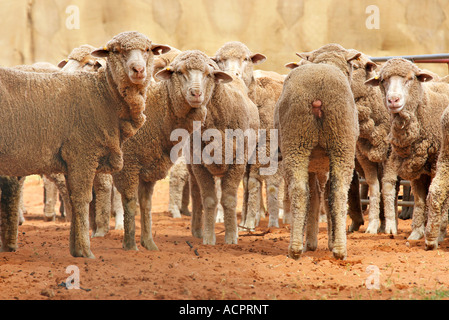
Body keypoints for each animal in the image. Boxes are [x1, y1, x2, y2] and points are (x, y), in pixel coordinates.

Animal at [0, 31, 170, 258]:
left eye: (148, 50)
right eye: (116, 51)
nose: (138, 70)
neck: (102, 95)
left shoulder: (74, 160)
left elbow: (74, 199)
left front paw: (75, 248)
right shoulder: (82, 154)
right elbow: (82, 199)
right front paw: (85, 250)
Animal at [110, 49, 233, 250]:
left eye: (209, 74)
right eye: (179, 72)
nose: (196, 93)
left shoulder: (148, 168)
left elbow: (146, 204)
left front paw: (149, 243)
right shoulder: (129, 164)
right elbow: (130, 202)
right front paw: (130, 245)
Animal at [211, 41, 284, 230]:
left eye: (246, 59)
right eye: (219, 60)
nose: (233, 74)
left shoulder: (264, 146)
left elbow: (252, 181)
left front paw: (250, 220)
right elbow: (244, 182)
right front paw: (244, 221)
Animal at [272, 44, 360, 260]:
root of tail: (318, 95)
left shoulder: (315, 166)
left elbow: (315, 198)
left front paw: (312, 242)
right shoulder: (320, 166)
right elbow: (321, 198)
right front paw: (320, 242)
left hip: (299, 141)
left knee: (300, 191)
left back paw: (296, 248)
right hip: (340, 143)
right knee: (337, 193)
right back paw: (338, 248)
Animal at [366, 57, 449, 240]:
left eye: (410, 78)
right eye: (383, 80)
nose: (393, 100)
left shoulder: (437, 165)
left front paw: (435, 231)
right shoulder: (417, 167)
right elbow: (419, 200)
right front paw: (417, 232)